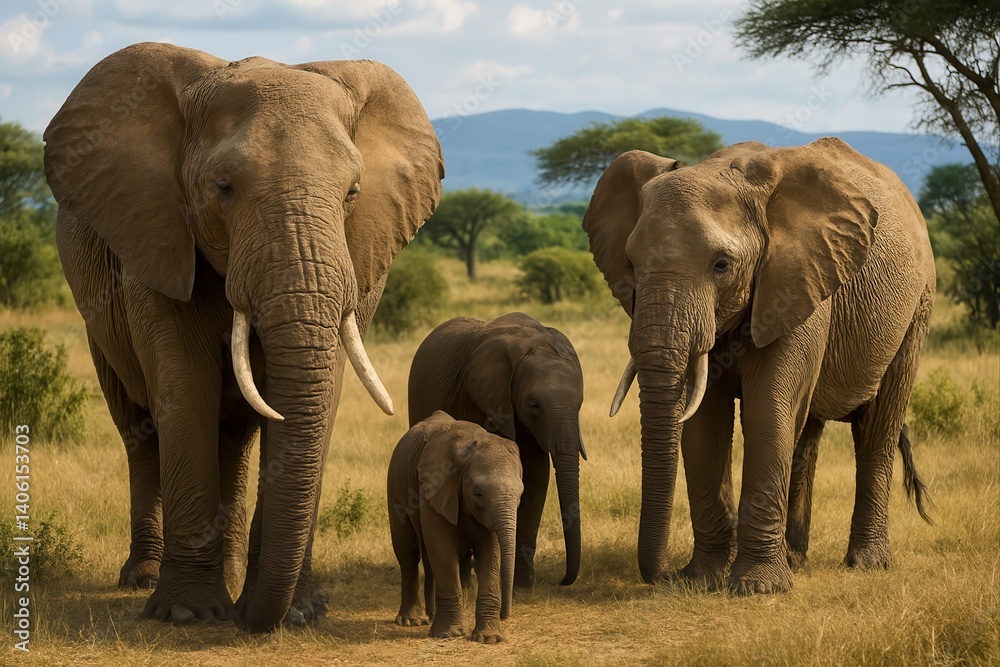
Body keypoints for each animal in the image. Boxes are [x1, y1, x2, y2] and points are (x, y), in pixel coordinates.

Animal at [43, 42, 444, 631]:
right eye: (223, 188)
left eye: (352, 192)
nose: (255, 618)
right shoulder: (156, 236)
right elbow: (186, 391)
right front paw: (187, 613)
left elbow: (319, 397)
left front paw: (296, 612)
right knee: (138, 426)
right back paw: (145, 578)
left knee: (232, 434)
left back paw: (230, 578)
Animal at [387, 411, 523, 643]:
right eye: (477, 493)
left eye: (521, 493)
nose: (506, 615)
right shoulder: (435, 485)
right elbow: (442, 547)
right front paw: (448, 634)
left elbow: (491, 552)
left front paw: (488, 639)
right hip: (395, 486)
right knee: (408, 551)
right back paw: (412, 621)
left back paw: (430, 615)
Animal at [408, 312, 585, 588]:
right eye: (534, 405)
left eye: (580, 403)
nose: (562, 581)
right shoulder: (481, 398)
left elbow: (536, 476)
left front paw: (523, 585)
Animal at [582, 138, 934, 594]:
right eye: (629, 262)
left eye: (721, 265)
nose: (661, 577)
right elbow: (704, 421)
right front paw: (703, 579)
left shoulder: (798, 281)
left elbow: (767, 409)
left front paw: (757, 587)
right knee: (806, 433)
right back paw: (795, 558)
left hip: (916, 309)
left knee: (878, 427)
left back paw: (866, 563)